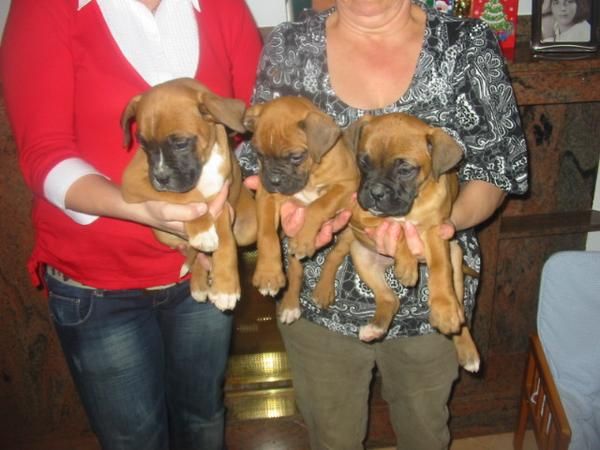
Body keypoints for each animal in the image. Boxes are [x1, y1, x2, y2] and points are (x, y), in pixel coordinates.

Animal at [119, 77, 255, 312]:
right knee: (197, 252)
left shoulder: (223, 199)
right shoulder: (133, 181)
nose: (160, 178)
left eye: (180, 143)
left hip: (250, 228)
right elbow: (189, 198)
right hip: (160, 232)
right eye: (143, 144)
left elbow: (226, 240)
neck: (206, 162)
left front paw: (226, 286)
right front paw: (201, 231)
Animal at [243, 97, 358, 324]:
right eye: (259, 154)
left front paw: (305, 238)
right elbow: (267, 235)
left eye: (296, 157)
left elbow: (318, 205)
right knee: (296, 271)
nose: (274, 181)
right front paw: (268, 273)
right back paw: (290, 304)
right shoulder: (266, 196)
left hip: (350, 230)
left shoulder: (346, 186)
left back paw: (323, 290)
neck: (311, 173)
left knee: (334, 255)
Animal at [314, 113, 478, 372]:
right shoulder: (363, 214)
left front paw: (443, 310)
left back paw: (467, 349)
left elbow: (440, 269)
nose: (376, 192)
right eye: (363, 161)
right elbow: (398, 228)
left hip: (455, 253)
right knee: (383, 294)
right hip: (360, 253)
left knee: (457, 307)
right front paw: (407, 266)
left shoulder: (437, 231)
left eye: (405, 169)